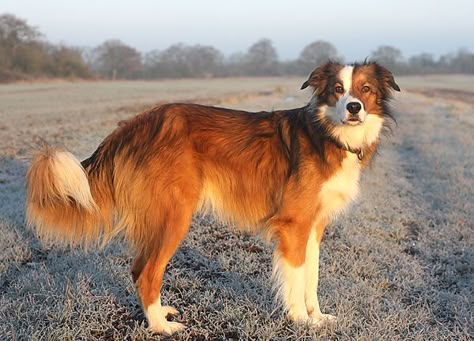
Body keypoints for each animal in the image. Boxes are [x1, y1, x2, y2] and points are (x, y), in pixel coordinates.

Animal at [25, 60, 400, 332]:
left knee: (138, 268)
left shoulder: (314, 227)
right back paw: (161, 327)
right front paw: (299, 319)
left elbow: (312, 277)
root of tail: (134, 124)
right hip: (175, 216)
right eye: (338, 89)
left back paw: (160, 314)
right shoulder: (293, 225)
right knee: (147, 273)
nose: (354, 107)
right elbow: (294, 278)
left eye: (365, 89)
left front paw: (317, 317)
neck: (327, 133)